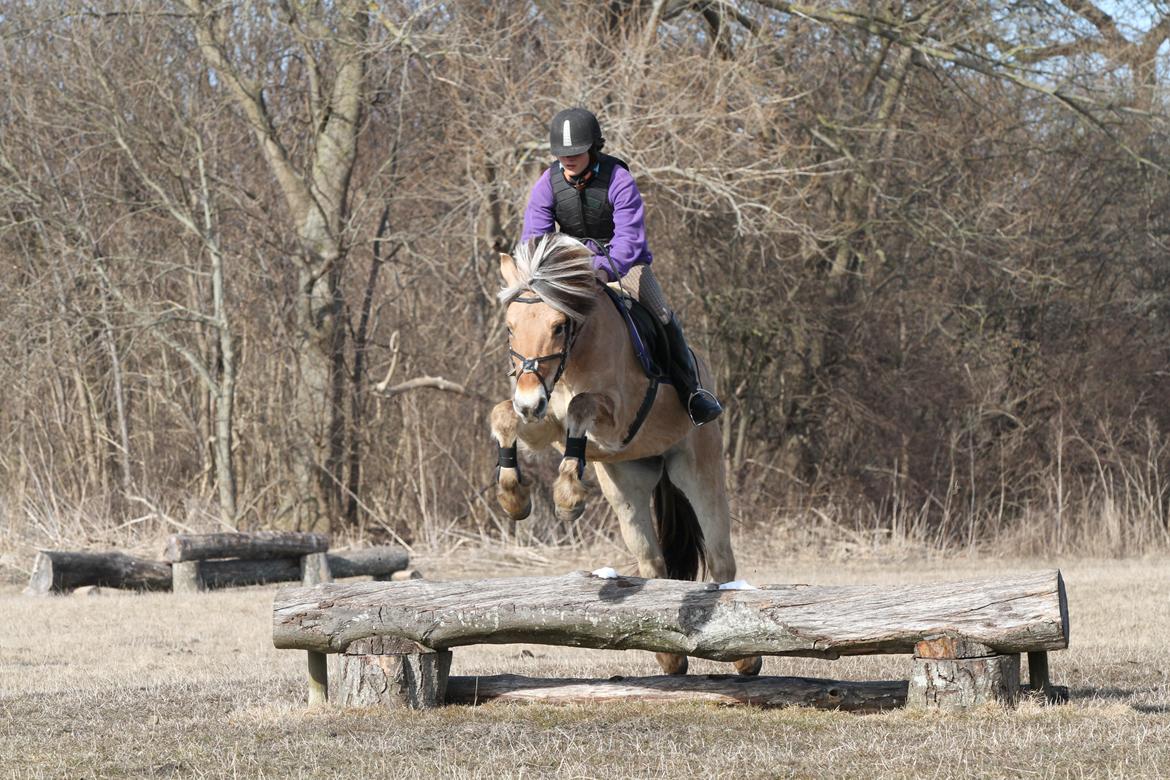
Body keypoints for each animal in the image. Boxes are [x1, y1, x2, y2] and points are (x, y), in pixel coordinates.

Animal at [489, 231, 762, 678]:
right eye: (511, 328)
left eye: (559, 326)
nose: (529, 401)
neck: (575, 356)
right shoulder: (544, 422)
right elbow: (504, 416)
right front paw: (513, 498)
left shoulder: (615, 419)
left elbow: (580, 407)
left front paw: (567, 497)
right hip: (626, 485)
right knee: (652, 562)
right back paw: (671, 656)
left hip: (697, 467)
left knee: (722, 559)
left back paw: (746, 655)